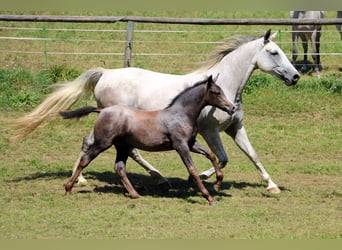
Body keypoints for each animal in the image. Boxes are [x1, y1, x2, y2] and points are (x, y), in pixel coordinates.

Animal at [60, 74, 236, 205]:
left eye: (221, 90)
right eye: (216, 92)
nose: (232, 107)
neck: (181, 114)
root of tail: (102, 110)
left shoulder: (191, 143)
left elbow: (211, 155)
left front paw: (218, 183)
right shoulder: (180, 145)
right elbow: (192, 169)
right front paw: (209, 197)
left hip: (122, 146)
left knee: (119, 167)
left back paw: (135, 194)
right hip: (103, 143)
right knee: (85, 159)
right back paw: (68, 188)